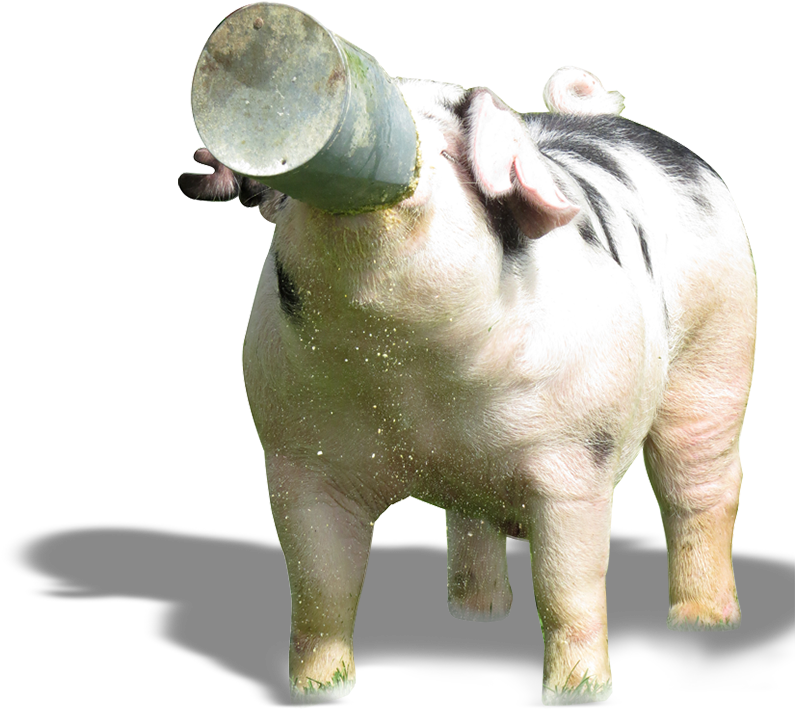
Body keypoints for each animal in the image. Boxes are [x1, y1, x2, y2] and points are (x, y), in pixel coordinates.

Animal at [180, 67, 756, 706]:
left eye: (446, 151)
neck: (411, 380)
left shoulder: (574, 461)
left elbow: (567, 581)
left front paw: (576, 694)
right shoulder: (297, 460)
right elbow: (321, 583)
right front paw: (317, 691)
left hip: (719, 349)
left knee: (699, 488)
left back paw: (703, 621)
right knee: (470, 520)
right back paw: (477, 613)